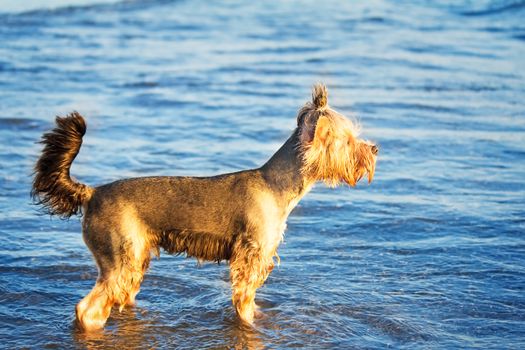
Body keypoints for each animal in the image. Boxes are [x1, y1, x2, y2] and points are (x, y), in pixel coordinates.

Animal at [31, 85, 376, 330]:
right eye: (347, 140)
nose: (373, 148)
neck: (276, 185)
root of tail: (91, 194)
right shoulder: (250, 259)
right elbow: (244, 303)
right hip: (119, 259)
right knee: (86, 309)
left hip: (134, 258)